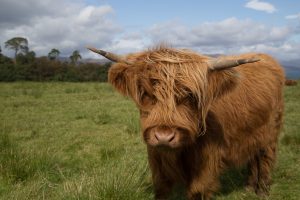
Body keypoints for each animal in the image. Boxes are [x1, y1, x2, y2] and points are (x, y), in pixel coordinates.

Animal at [88, 46, 284, 199]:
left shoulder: (206, 162)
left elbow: (198, 191)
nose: (164, 136)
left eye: (190, 96)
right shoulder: (156, 157)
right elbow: (162, 189)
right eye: (146, 93)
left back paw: (262, 191)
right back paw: (249, 187)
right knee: (253, 157)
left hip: (270, 132)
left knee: (265, 157)